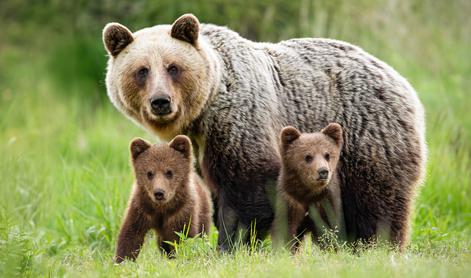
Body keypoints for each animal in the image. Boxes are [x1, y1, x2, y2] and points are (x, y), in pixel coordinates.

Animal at [103, 14, 428, 251]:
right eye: (142, 70)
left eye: (173, 67)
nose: (160, 102)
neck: (203, 114)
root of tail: (399, 79)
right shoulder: (202, 148)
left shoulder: (240, 123)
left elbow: (248, 188)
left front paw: (230, 246)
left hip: (368, 138)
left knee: (377, 203)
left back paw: (376, 246)